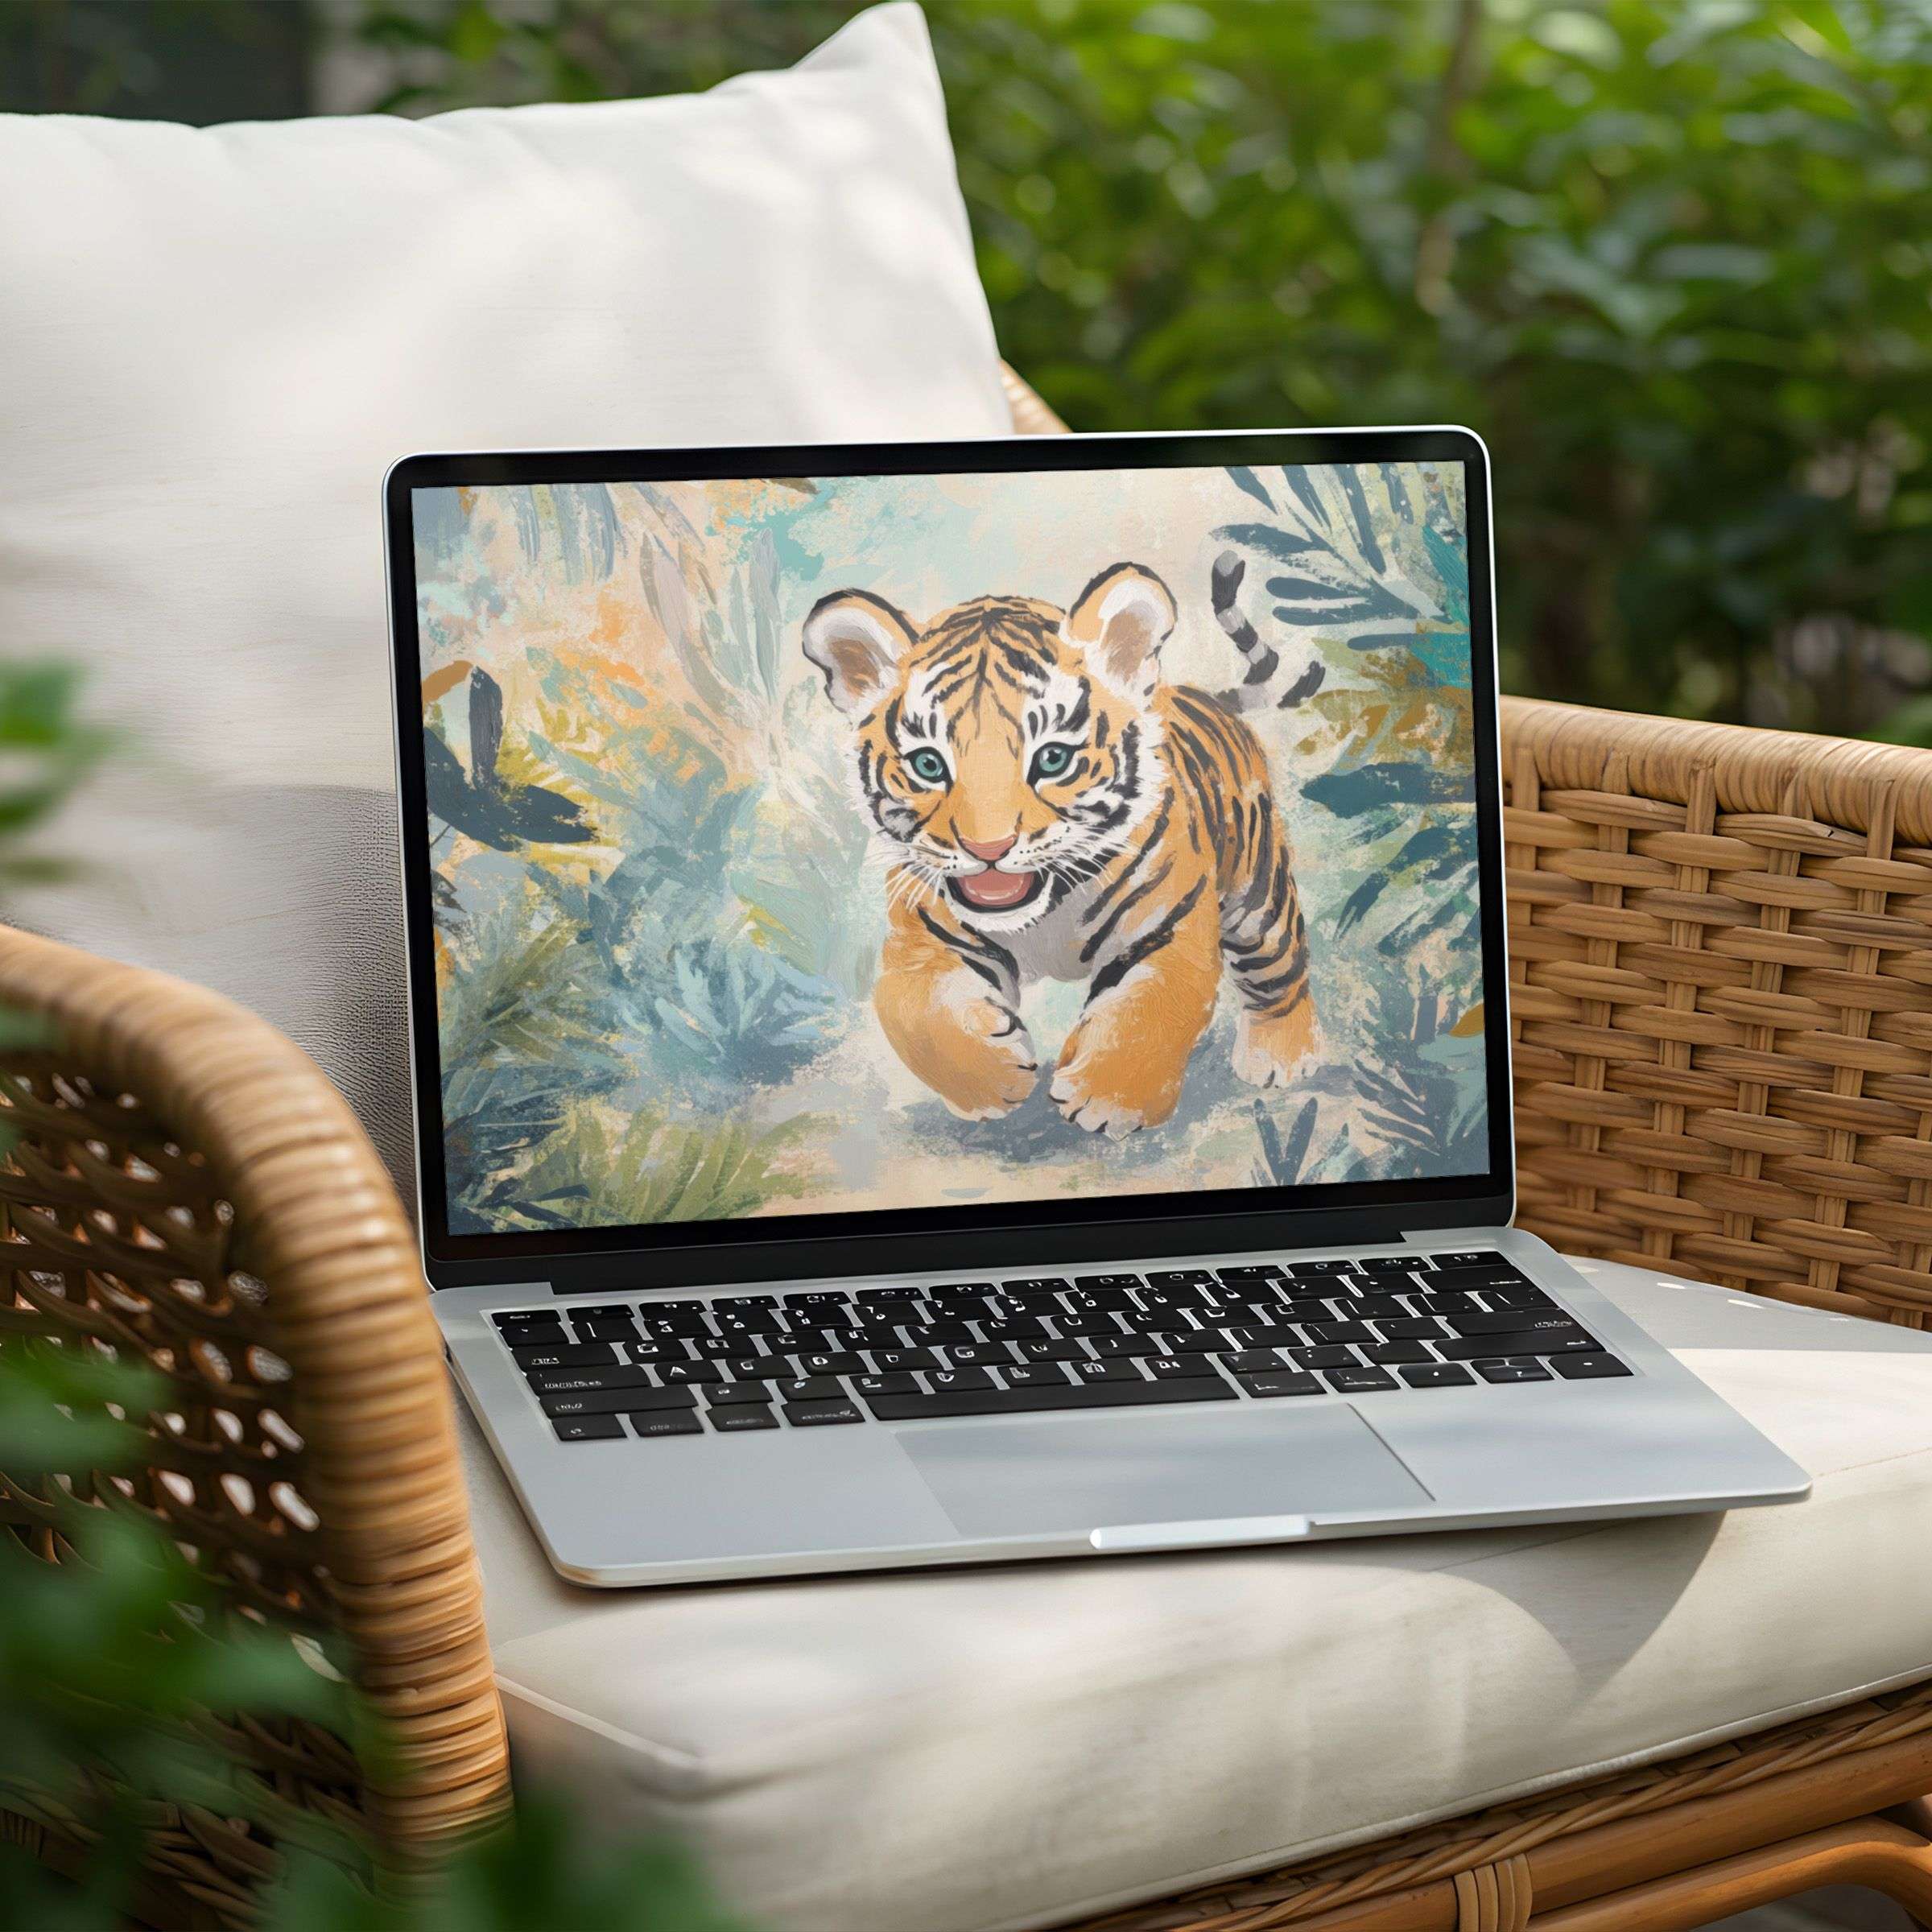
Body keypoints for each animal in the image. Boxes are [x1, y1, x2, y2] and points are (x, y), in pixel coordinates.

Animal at [801, 561, 1318, 1137]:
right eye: (928, 765)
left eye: (1052, 759)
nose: (989, 848)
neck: (1046, 911)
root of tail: (1198, 695)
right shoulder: (923, 941)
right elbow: (917, 1016)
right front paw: (994, 1081)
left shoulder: (1170, 930)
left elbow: (1151, 1014)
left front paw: (1107, 1099)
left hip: (1258, 891)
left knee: (1282, 966)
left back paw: (1280, 1056)